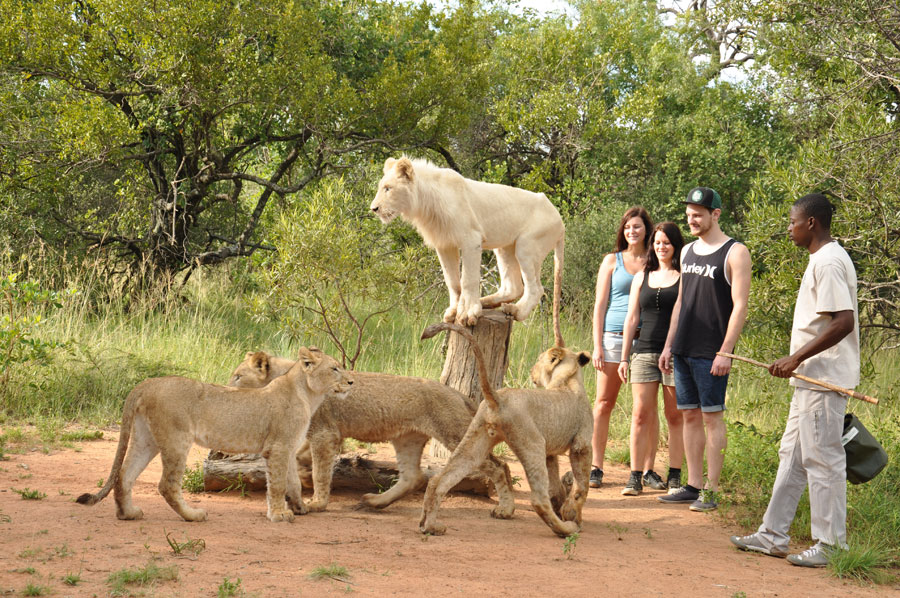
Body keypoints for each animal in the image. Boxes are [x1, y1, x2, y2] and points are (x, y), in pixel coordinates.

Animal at [76, 347, 352, 523]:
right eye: (335, 369)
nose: (351, 382)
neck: (309, 395)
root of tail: (147, 383)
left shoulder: (288, 447)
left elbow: (293, 482)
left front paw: (300, 508)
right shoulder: (279, 447)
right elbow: (277, 484)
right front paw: (278, 515)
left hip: (147, 439)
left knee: (123, 475)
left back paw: (128, 514)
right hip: (177, 439)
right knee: (167, 485)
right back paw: (193, 516)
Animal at [228, 351, 516, 516]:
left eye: (238, 376)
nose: (226, 385)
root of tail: (457, 393)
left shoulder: (324, 433)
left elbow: (322, 472)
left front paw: (317, 502)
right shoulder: (314, 434)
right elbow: (300, 459)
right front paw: (302, 478)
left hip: (453, 433)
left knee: (499, 466)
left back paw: (506, 509)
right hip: (407, 438)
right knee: (413, 477)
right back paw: (375, 502)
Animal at [370, 157, 565, 345]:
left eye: (388, 188)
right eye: (382, 187)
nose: (373, 209)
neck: (426, 201)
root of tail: (560, 220)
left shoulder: (471, 239)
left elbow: (468, 280)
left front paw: (468, 313)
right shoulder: (444, 244)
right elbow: (452, 281)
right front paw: (454, 311)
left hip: (527, 246)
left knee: (535, 289)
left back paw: (514, 310)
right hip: (504, 247)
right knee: (513, 287)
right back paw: (486, 302)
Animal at [418, 323, 593, 537]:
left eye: (538, 360)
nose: (531, 371)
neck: (566, 381)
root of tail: (498, 398)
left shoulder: (551, 453)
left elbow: (557, 486)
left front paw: (562, 507)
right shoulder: (582, 445)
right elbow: (581, 486)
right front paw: (572, 515)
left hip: (474, 444)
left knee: (439, 481)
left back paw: (430, 525)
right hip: (533, 443)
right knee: (538, 500)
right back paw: (566, 529)